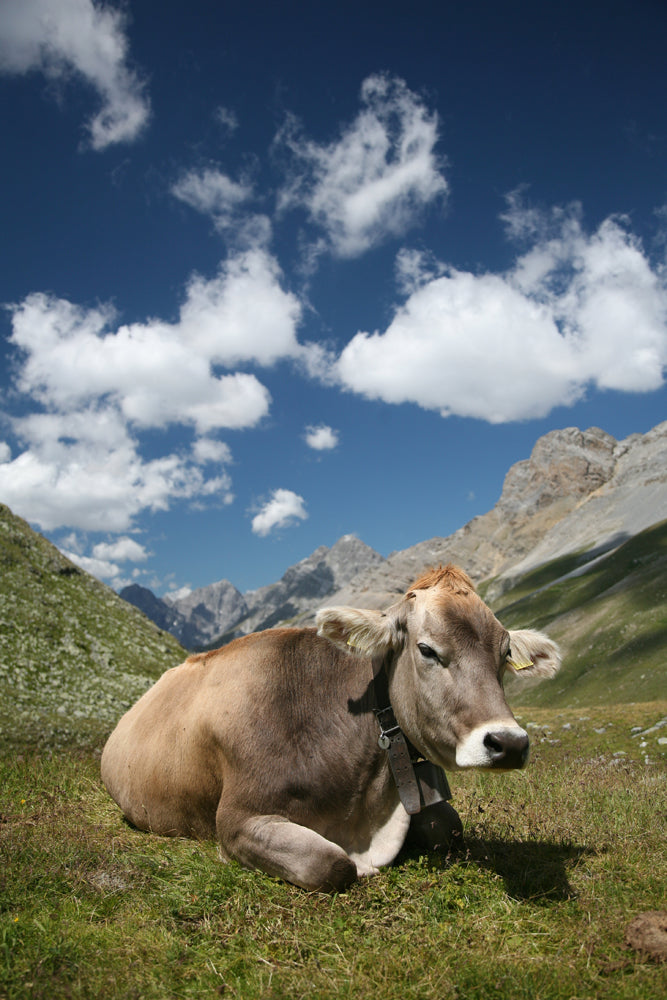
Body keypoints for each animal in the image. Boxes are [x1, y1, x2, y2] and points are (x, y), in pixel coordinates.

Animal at [102, 568, 560, 896]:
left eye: (505, 654)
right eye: (426, 649)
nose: (509, 743)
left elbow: (448, 827)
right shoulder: (237, 819)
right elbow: (333, 865)